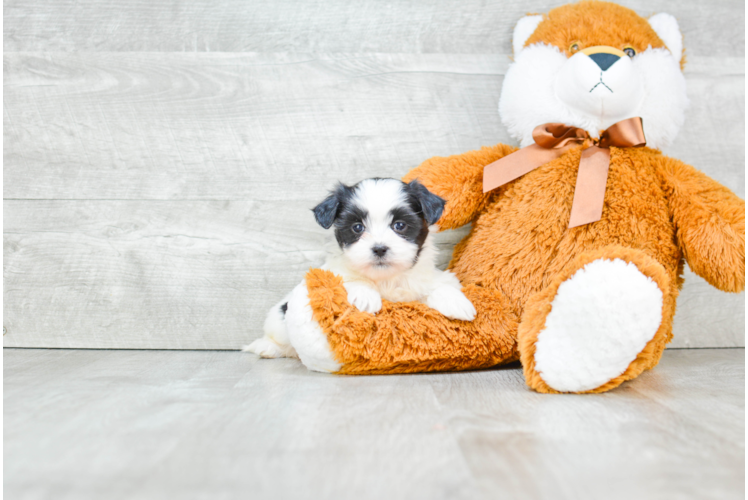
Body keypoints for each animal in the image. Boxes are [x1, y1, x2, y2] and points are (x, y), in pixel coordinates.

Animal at [247, 179, 480, 360]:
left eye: (400, 225)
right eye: (357, 227)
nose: (379, 248)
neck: (385, 278)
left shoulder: (418, 285)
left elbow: (438, 286)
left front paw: (456, 302)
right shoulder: (334, 271)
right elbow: (351, 278)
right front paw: (366, 296)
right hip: (280, 320)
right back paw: (265, 347)